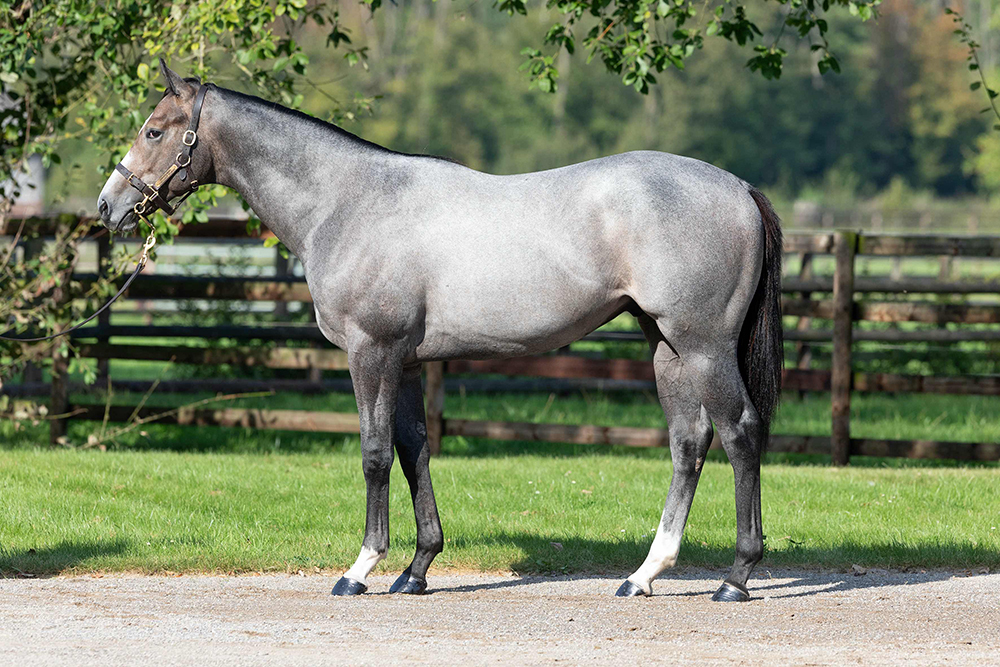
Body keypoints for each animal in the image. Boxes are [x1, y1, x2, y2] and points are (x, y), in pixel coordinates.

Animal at [97, 62, 784, 604]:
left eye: (154, 130)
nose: (108, 207)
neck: (348, 201)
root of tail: (738, 187)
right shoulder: (404, 362)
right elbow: (413, 450)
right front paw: (417, 568)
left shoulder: (370, 353)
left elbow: (375, 455)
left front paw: (360, 569)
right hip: (667, 347)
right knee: (689, 444)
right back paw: (644, 575)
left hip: (703, 346)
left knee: (740, 433)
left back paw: (736, 577)